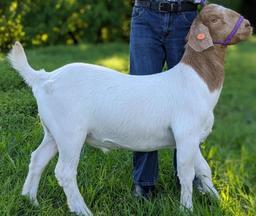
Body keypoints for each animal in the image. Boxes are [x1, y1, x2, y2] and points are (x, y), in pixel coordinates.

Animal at [8, 3, 252, 216]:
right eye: (215, 19)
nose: (249, 25)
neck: (196, 81)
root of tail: (43, 77)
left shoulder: (191, 138)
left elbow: (203, 169)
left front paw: (217, 201)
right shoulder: (185, 133)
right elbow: (186, 172)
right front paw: (186, 209)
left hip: (52, 131)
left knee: (38, 158)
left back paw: (30, 200)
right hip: (70, 132)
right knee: (64, 172)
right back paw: (82, 210)